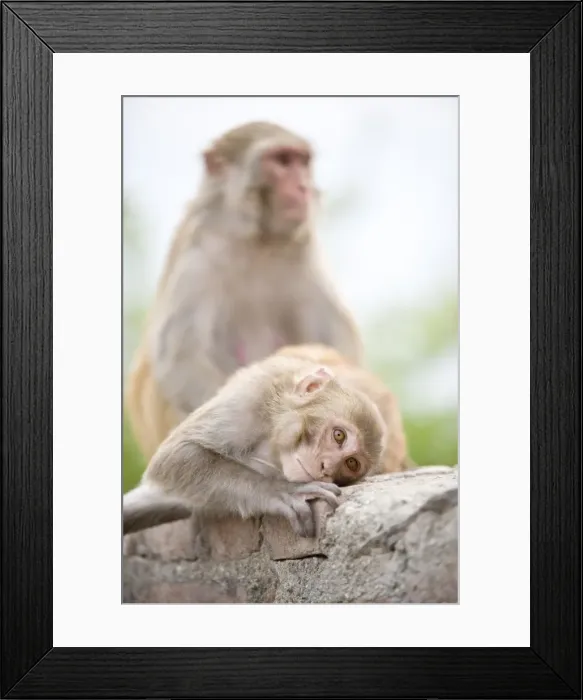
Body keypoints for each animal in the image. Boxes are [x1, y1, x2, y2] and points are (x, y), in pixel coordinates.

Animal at [123, 353, 386, 538]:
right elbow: (175, 455)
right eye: (339, 435)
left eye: (351, 463)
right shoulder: (252, 395)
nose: (326, 467)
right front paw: (280, 491)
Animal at [125, 121, 363, 462]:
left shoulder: (305, 254)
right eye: (282, 161)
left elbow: (334, 344)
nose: (303, 187)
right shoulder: (196, 259)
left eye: (302, 161)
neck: (258, 239)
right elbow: (181, 362)